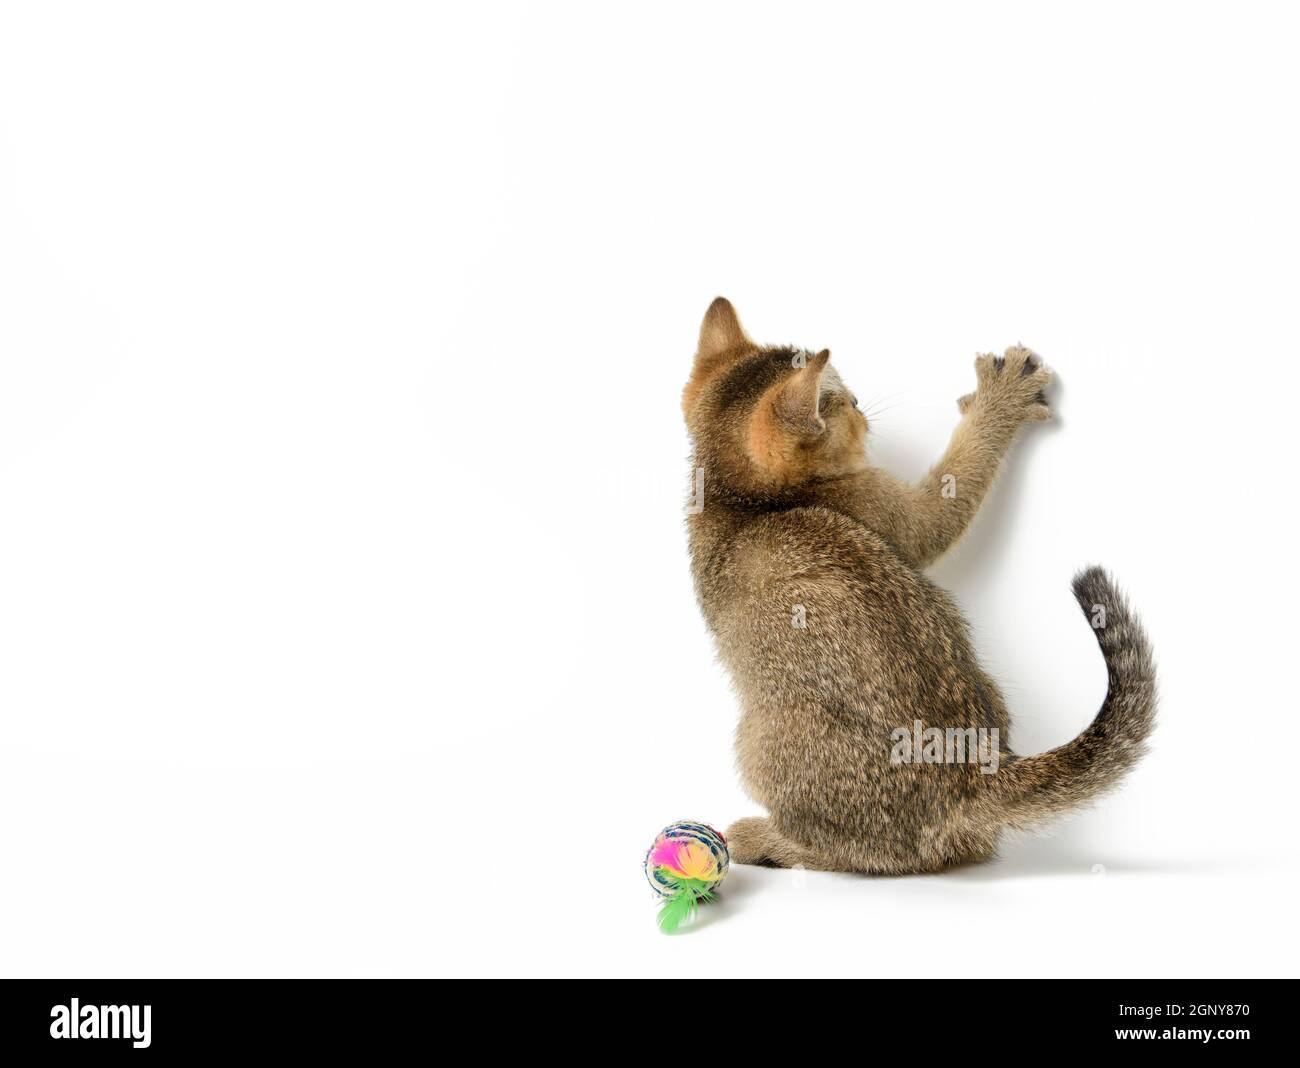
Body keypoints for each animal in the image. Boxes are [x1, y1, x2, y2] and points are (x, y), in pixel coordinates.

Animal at [686, 297, 1154, 873]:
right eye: (837, 402)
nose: (859, 403)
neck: (733, 494)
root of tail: (974, 777)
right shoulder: (883, 509)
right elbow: (951, 491)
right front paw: (1000, 404)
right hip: (760, 739)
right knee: (857, 852)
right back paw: (767, 841)